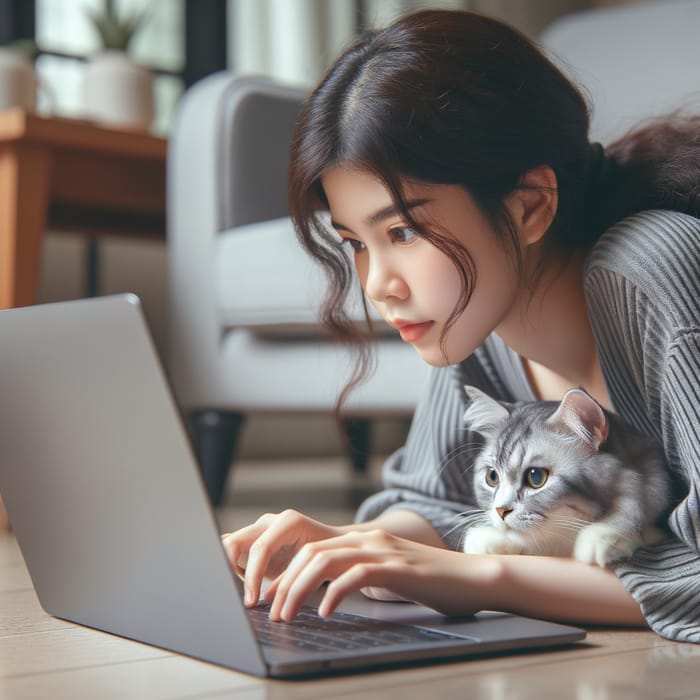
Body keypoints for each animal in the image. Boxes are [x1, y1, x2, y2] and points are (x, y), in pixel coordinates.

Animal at [462, 386, 668, 568]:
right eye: (492, 477)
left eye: (536, 477)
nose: (501, 511)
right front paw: (486, 539)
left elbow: (630, 516)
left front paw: (600, 538)